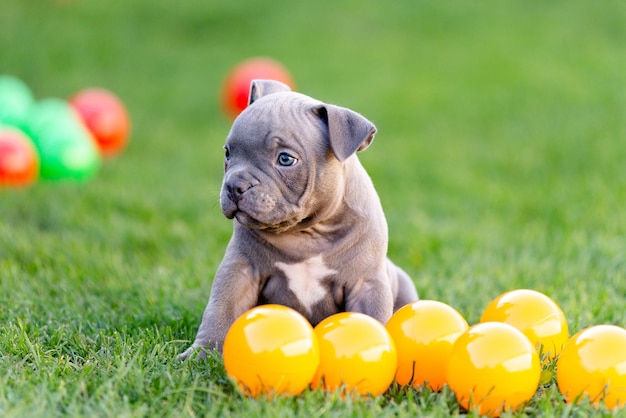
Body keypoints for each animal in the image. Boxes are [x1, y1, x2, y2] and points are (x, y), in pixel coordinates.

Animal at [179, 79, 414, 360]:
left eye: (285, 159)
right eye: (227, 153)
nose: (235, 185)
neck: (306, 232)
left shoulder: (366, 284)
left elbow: (372, 319)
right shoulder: (240, 270)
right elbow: (220, 310)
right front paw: (201, 353)